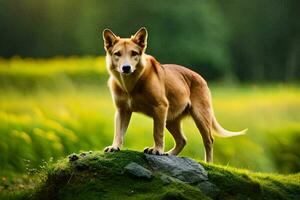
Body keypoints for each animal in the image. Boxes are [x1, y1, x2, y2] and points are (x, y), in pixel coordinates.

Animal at [101, 27, 246, 162]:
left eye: (134, 53)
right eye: (117, 53)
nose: (126, 68)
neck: (130, 85)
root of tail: (200, 77)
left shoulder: (160, 107)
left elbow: (157, 132)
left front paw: (157, 150)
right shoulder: (122, 110)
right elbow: (119, 132)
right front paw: (114, 147)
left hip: (200, 115)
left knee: (209, 140)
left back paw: (208, 163)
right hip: (171, 119)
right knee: (182, 140)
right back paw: (169, 154)